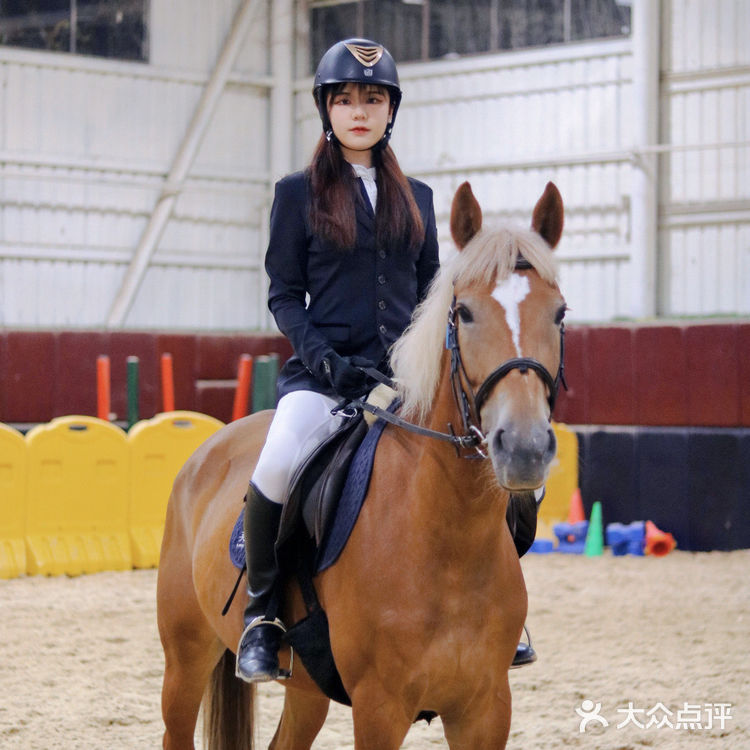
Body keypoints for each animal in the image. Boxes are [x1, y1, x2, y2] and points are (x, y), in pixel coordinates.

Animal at [156, 180, 566, 750]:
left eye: (559, 313)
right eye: (464, 313)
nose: (524, 447)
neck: (448, 539)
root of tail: (210, 444)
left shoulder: (486, 708)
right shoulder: (379, 707)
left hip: (305, 689)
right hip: (185, 657)